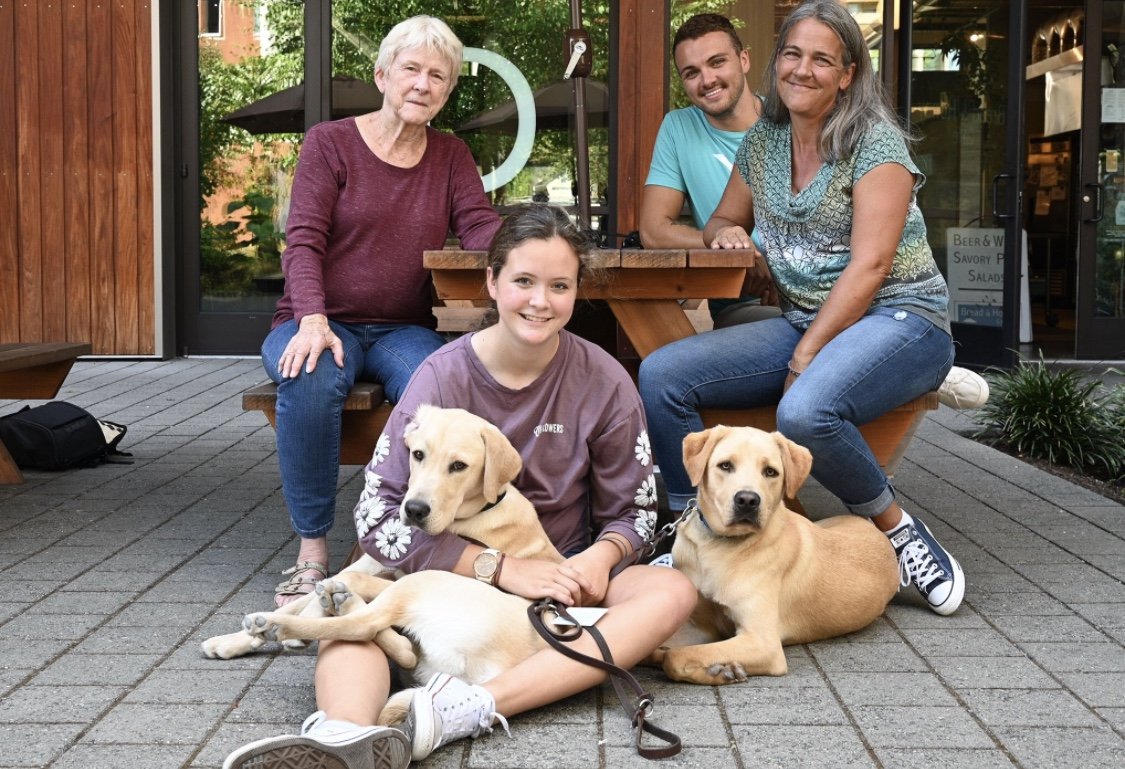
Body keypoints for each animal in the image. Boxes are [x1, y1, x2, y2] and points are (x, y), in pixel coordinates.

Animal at [201, 404, 562, 724]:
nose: (414, 510)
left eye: (459, 466)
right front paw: (229, 642)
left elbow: (316, 599)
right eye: (418, 455)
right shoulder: (373, 562)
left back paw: (297, 621)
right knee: (397, 643)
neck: (474, 512)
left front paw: (295, 623)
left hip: (425, 581)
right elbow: (297, 600)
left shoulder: (396, 571)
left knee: (363, 624)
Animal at [657, 427, 900, 683]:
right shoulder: (699, 624)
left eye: (770, 472)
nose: (747, 500)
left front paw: (720, 671)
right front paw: (720, 669)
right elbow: (661, 652)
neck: (715, 546)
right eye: (725, 465)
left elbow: (674, 658)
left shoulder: (763, 642)